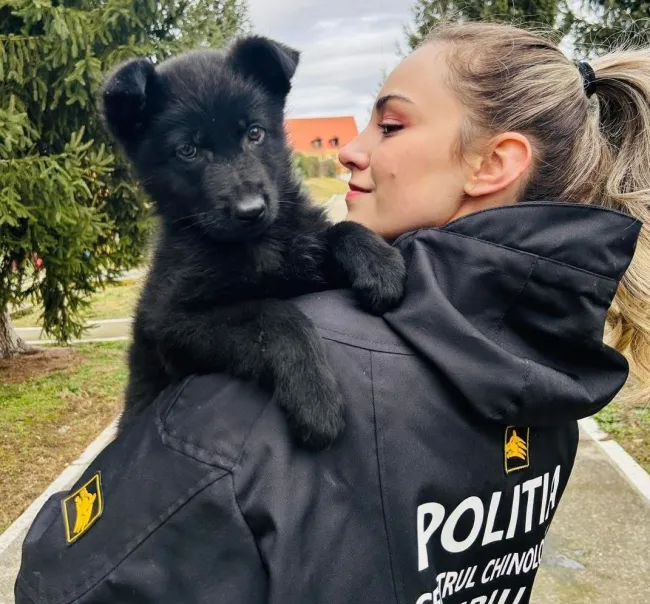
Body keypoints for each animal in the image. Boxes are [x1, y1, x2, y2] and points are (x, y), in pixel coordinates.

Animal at [100, 36, 405, 448]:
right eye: (188, 150)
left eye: (254, 133)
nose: (251, 210)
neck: (260, 246)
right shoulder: (170, 324)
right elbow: (272, 312)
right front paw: (315, 397)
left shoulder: (307, 267)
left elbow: (338, 231)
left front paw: (378, 263)